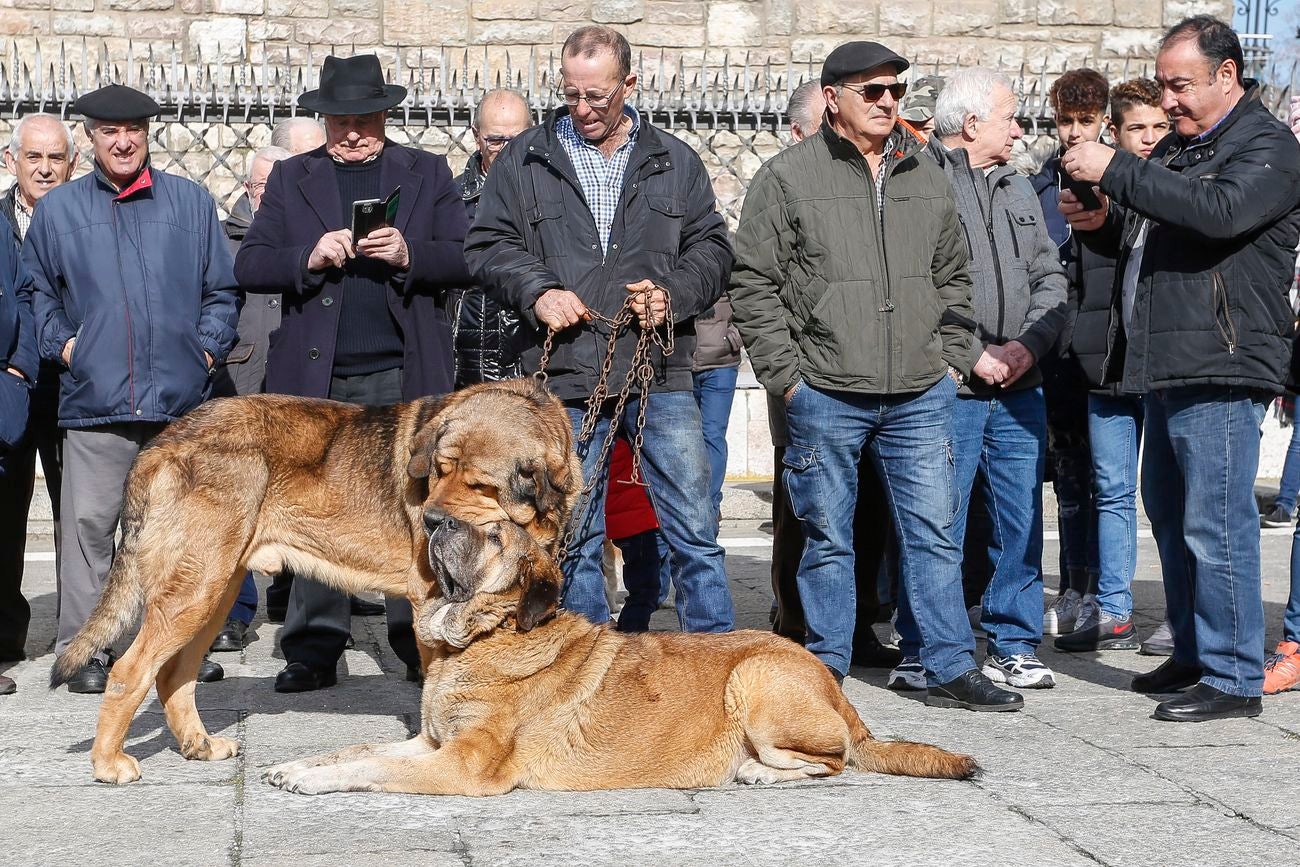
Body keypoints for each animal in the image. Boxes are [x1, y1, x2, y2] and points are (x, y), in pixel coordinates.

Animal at [50, 379, 579, 785]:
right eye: (438, 472)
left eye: (480, 486)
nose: (431, 523)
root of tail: (163, 440)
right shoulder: (433, 599)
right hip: (195, 589)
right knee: (130, 671)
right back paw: (108, 763)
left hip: (215, 591)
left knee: (173, 673)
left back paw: (198, 745)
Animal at [263, 514, 977, 795]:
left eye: (493, 534)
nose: (434, 522)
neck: (491, 636)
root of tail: (835, 686)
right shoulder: (432, 744)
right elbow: (358, 749)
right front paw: (297, 764)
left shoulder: (463, 765)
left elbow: (374, 767)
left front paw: (312, 780)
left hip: (755, 680)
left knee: (832, 762)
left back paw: (755, 773)